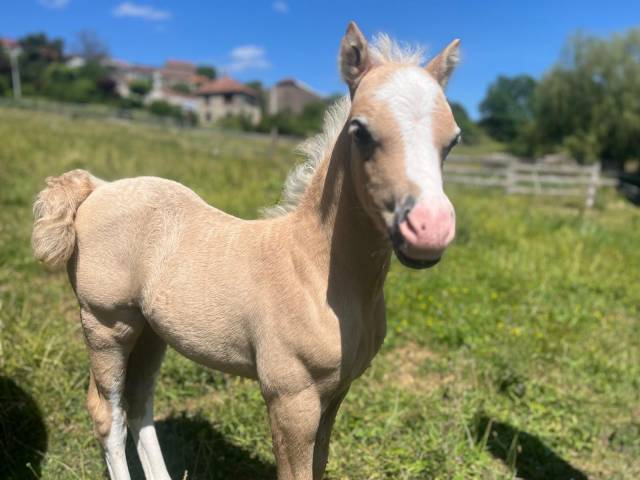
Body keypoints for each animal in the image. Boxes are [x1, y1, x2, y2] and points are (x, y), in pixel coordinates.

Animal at [31, 21, 461, 480]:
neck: (314, 271)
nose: (430, 230)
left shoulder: (336, 392)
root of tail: (98, 187)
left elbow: (319, 463)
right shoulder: (291, 397)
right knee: (106, 412)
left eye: (453, 140)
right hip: (106, 324)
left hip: (150, 330)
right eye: (360, 130)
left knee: (138, 404)